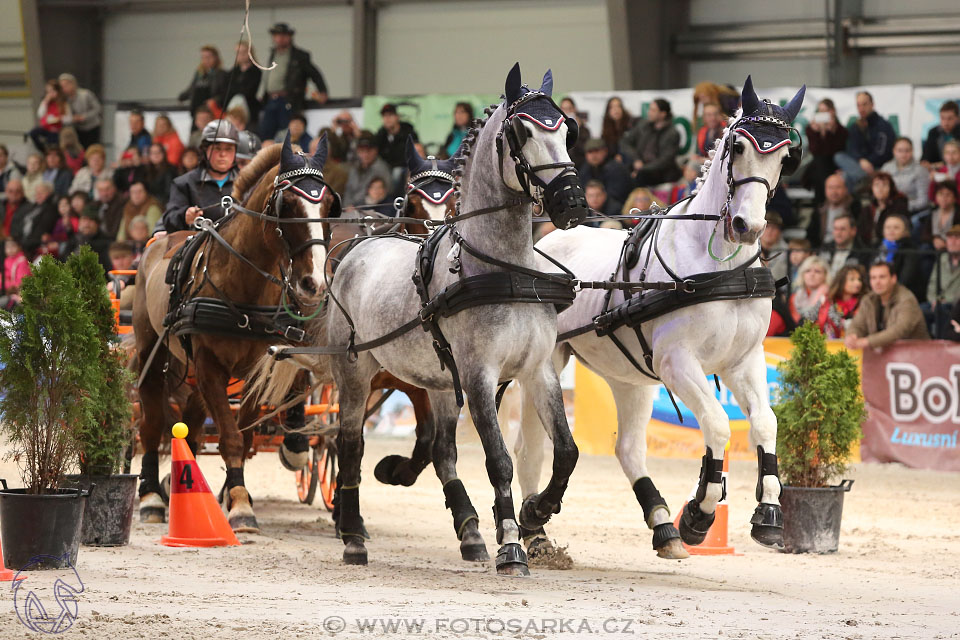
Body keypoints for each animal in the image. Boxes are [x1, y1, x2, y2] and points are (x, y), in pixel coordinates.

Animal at [516, 77, 804, 560]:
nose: (747, 226)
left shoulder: (743, 360)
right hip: (547, 361)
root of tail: (545, 240)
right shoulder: (677, 362)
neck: (716, 266)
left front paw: (767, 514)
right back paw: (534, 523)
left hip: (630, 377)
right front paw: (701, 514)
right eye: (739, 146)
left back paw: (662, 523)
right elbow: (718, 424)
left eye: (785, 156)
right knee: (532, 446)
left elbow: (765, 423)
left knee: (628, 448)